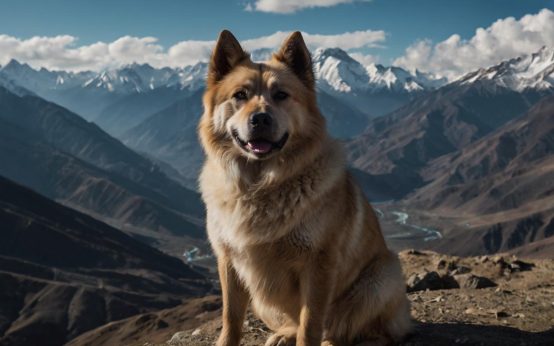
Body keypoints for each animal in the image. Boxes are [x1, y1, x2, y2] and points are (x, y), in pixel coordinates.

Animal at [197, 30, 410, 346]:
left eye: (281, 95)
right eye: (240, 95)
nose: (260, 119)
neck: (260, 186)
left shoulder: (319, 263)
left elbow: (310, 323)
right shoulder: (228, 261)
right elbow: (231, 318)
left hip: (382, 276)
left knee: (363, 328)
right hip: (262, 299)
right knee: (296, 322)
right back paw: (285, 334)